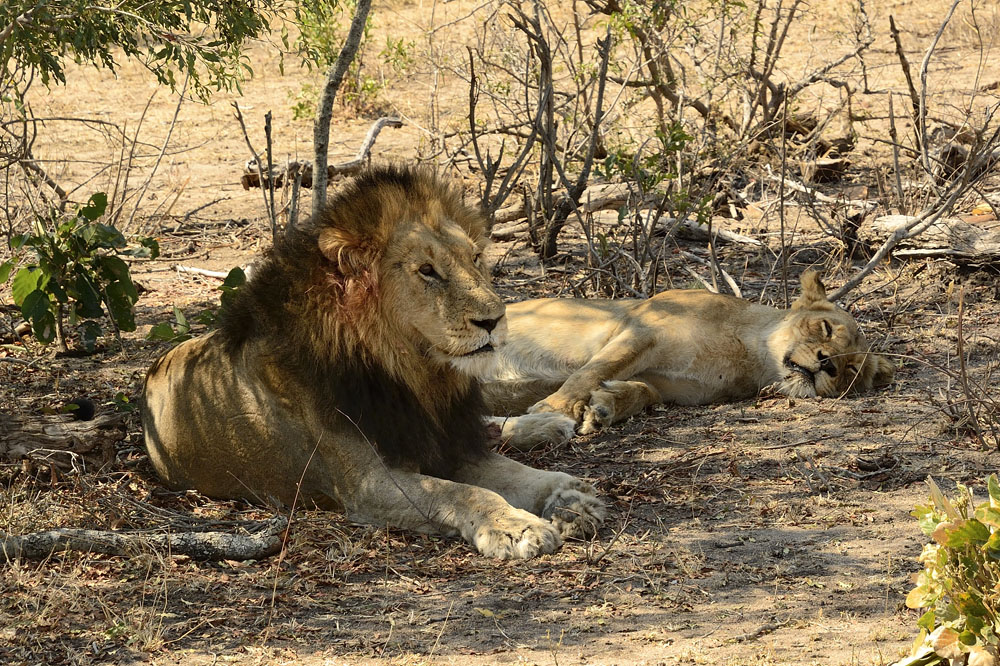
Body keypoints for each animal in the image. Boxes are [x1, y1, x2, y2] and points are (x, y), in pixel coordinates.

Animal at [141, 166, 604, 559]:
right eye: (427, 270)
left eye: (474, 258)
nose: (494, 319)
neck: (414, 376)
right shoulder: (367, 483)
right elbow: (463, 493)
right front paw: (515, 526)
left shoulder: (450, 442)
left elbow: (519, 473)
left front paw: (570, 499)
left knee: (493, 423)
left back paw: (546, 424)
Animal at [456, 271, 894, 440]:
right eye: (826, 330)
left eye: (851, 371)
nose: (828, 363)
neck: (749, 354)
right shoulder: (643, 329)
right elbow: (592, 370)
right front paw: (557, 406)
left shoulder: (670, 385)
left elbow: (640, 392)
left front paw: (602, 409)